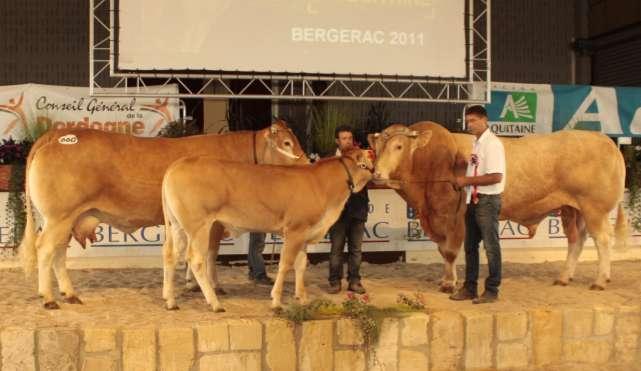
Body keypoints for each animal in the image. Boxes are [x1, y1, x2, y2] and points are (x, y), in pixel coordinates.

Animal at [19, 120, 308, 310]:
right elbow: (210, 253)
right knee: (45, 249)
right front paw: (212, 287)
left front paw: (192, 284)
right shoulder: (214, 223)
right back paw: (49, 298)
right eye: (286, 143)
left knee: (58, 253)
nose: (307, 164)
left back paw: (69, 294)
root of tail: (58, 134)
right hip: (59, 216)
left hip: (67, 218)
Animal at [160, 148, 376, 310]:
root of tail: (178, 164)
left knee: (171, 254)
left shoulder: (305, 232)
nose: (378, 175)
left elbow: (301, 265)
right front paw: (277, 300)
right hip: (199, 226)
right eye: (370, 159)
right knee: (196, 259)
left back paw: (170, 301)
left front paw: (302, 298)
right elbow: (286, 264)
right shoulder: (295, 230)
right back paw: (215, 303)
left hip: (176, 225)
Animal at [370, 123, 624, 294]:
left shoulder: (453, 217)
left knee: (603, 240)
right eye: (377, 148)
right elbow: (443, 251)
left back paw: (600, 280)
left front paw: (450, 284)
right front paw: (445, 280)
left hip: (594, 208)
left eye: (399, 146)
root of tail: (606, 141)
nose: (377, 174)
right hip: (572, 209)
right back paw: (564, 277)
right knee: (576, 240)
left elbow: (450, 251)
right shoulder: (434, 218)